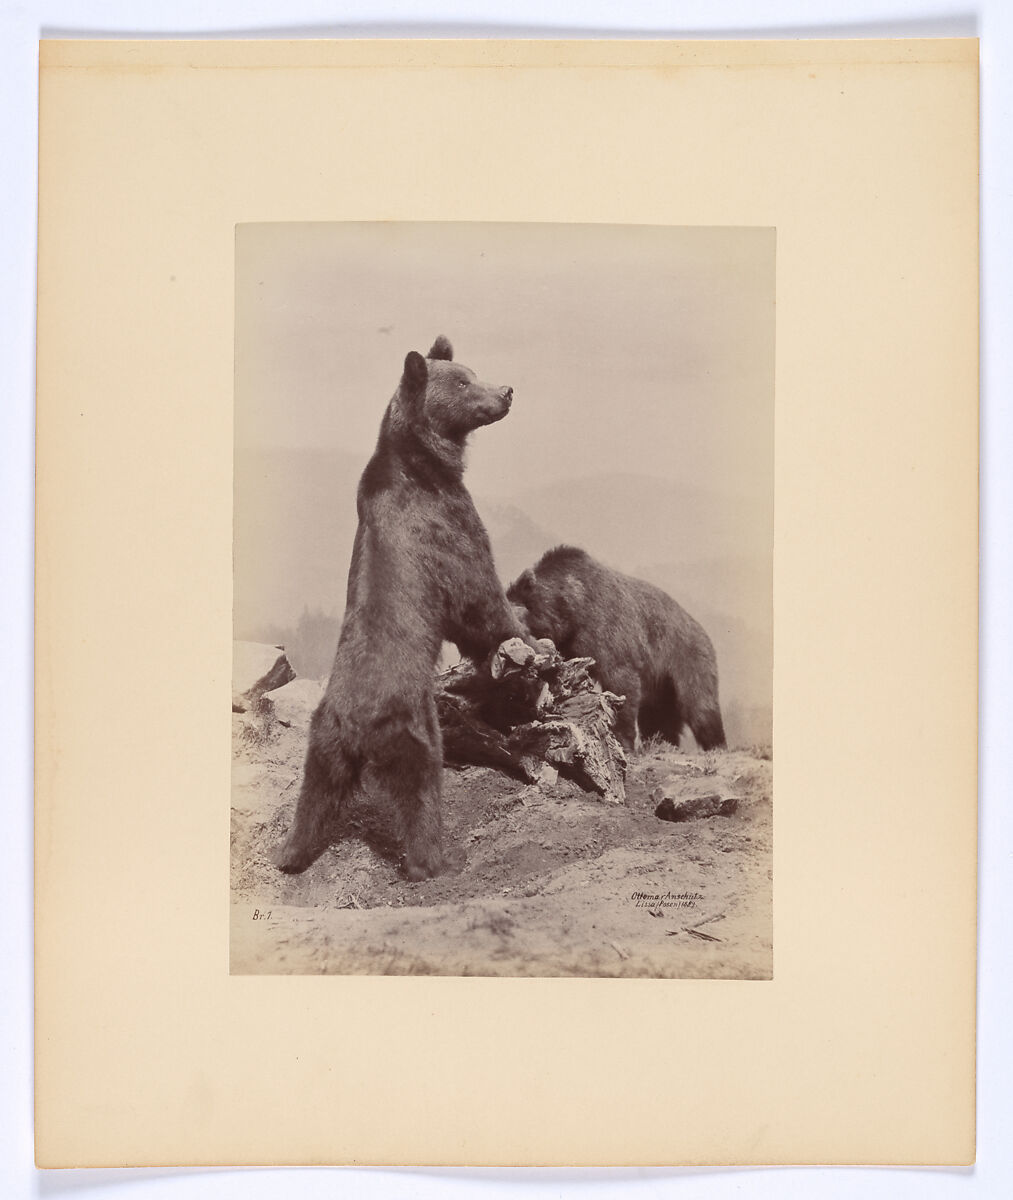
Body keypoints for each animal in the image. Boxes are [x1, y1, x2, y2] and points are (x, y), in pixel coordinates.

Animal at [272, 338, 535, 883]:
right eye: (463, 381)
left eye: (472, 371)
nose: (506, 390)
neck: (423, 460)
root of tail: (354, 725)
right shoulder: (445, 522)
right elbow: (479, 595)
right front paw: (531, 635)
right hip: (411, 729)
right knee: (422, 789)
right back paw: (434, 859)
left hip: (322, 745)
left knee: (313, 798)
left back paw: (289, 854)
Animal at [511, 549, 724, 753]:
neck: (571, 609)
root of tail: (701, 630)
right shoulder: (569, 646)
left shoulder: (604, 630)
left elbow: (620, 680)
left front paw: (622, 741)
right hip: (661, 682)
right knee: (658, 714)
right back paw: (661, 742)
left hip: (686, 656)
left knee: (699, 706)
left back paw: (716, 744)